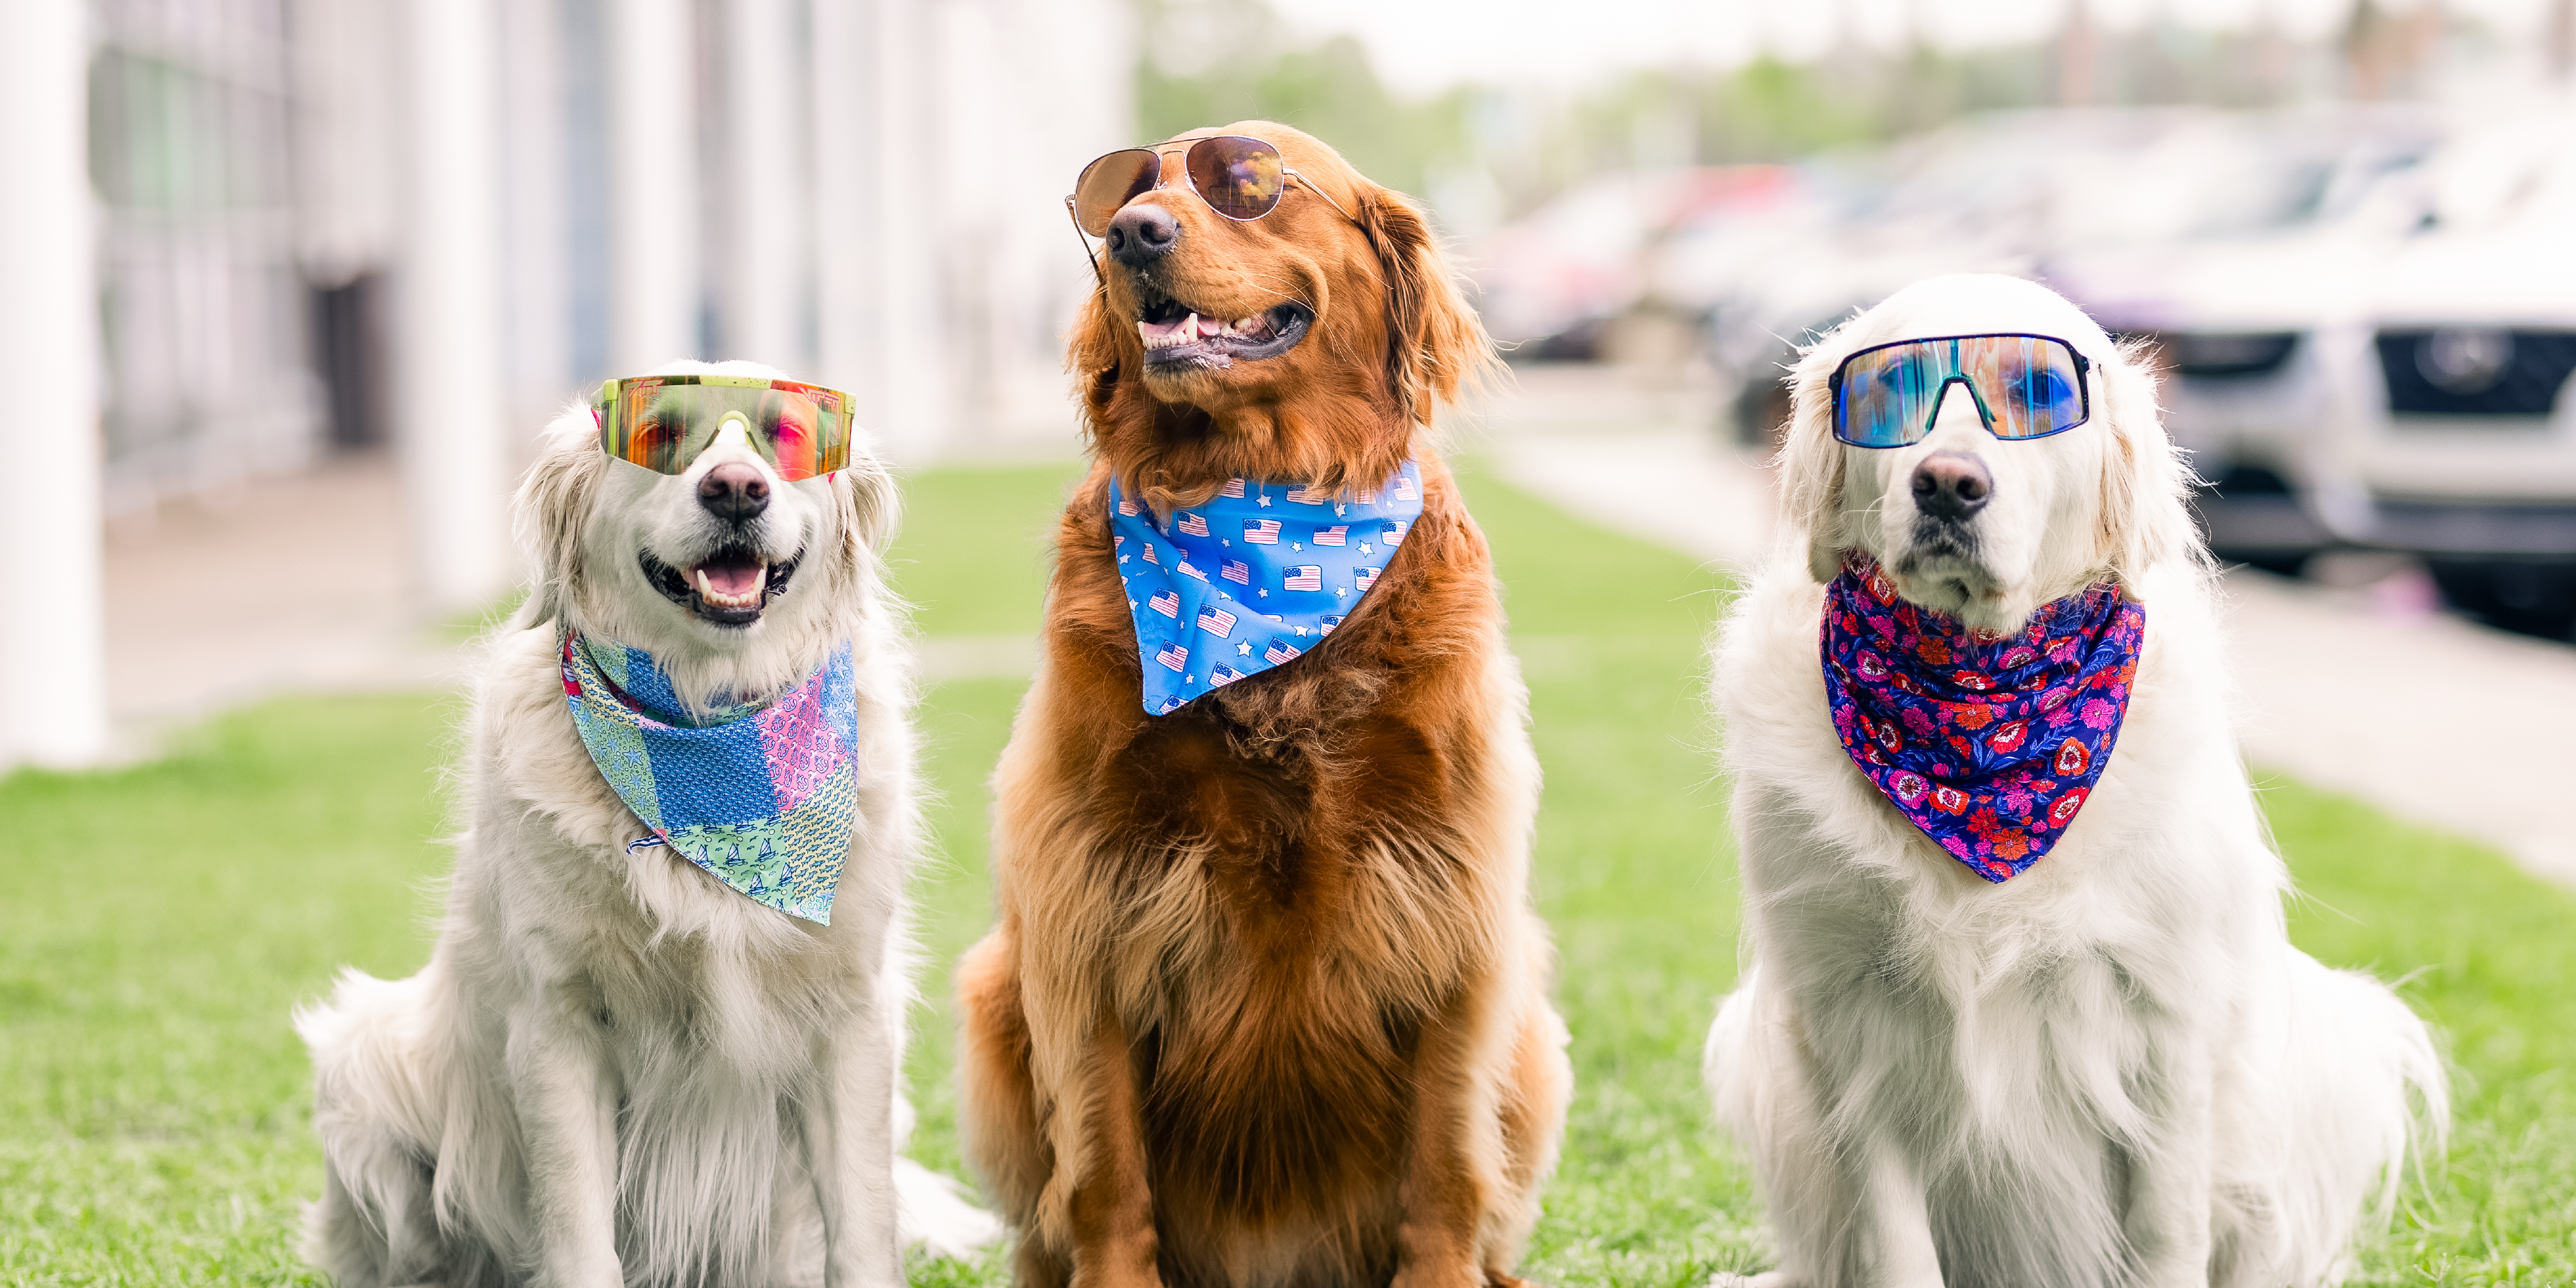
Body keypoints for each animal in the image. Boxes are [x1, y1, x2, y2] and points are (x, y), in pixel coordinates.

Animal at [295, 358, 994, 1283]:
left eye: (787, 437)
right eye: (659, 433)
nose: (734, 488)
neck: (704, 738)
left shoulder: (850, 1012)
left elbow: (862, 1227)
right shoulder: (556, 1021)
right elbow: (578, 1228)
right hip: (363, 1053)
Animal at [958, 123, 1566, 1288]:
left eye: (1246, 182)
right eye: (1125, 188)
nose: (1131, 233)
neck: (1257, 513)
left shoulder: (1450, 890)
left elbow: (1445, 1157)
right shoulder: (1088, 893)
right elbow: (1104, 1167)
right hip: (993, 995)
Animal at [1700, 276, 2442, 1283]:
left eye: (2036, 393)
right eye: (1889, 391)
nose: (1947, 483)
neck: (1980, 717)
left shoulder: (2166, 1016)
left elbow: (2165, 1234)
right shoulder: (1842, 1018)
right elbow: (1891, 1241)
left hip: (2331, 1055)